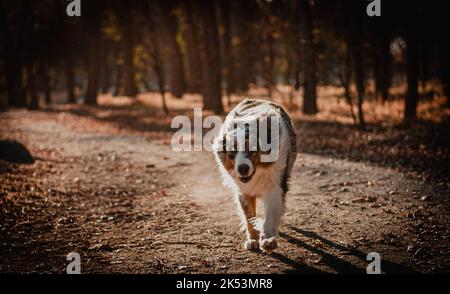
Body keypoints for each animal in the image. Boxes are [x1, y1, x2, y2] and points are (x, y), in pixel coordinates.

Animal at [213, 99, 298, 253]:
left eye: (253, 149)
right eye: (232, 151)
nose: (243, 168)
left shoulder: (274, 187)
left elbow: (270, 215)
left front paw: (268, 240)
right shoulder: (243, 190)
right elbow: (249, 217)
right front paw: (252, 239)